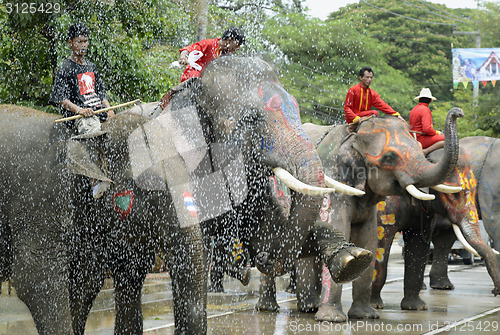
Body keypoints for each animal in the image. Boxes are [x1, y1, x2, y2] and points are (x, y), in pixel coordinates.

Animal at [292, 108, 464, 322]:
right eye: (389, 157)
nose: (458, 112)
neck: (354, 136)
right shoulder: (332, 184)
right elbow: (339, 228)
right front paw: (332, 319)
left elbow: (370, 240)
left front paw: (366, 316)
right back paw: (308, 307)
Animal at [372, 147, 500, 312]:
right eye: (454, 195)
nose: (495, 292)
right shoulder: (385, 206)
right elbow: (380, 241)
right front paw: (375, 305)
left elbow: (419, 244)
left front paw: (416, 307)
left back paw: (443, 287)